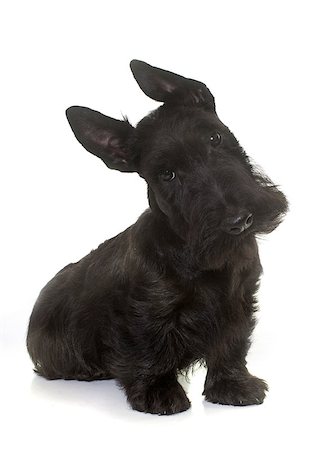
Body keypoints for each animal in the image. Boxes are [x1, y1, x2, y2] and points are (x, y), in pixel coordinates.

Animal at [27, 59, 288, 414]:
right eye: (167, 174)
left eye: (215, 138)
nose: (239, 220)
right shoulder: (144, 312)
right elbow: (149, 349)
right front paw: (158, 392)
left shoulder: (239, 300)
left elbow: (231, 344)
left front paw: (233, 386)